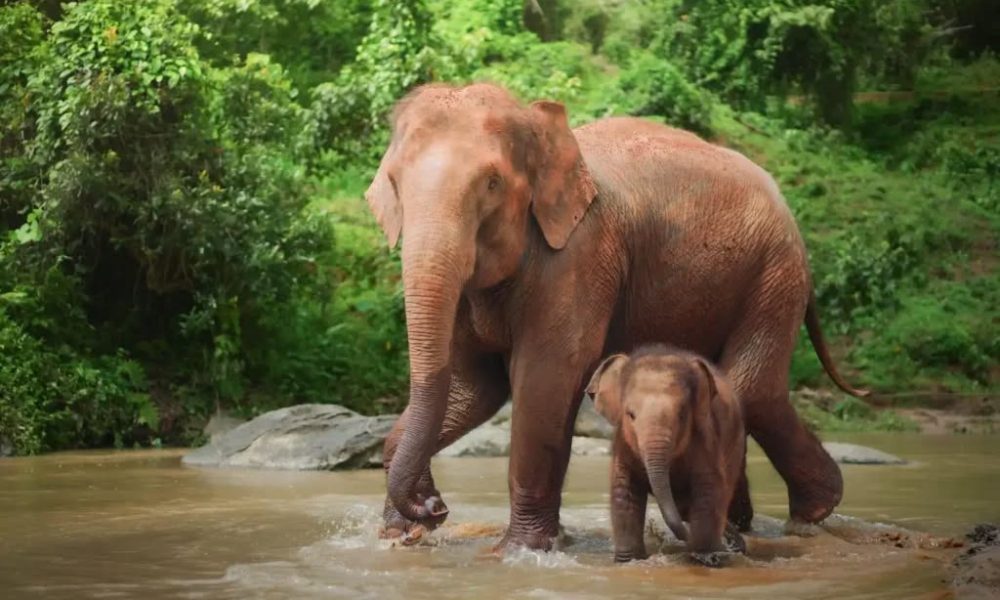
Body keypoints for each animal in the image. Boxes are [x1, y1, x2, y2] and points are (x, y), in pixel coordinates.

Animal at [586, 345, 747, 563]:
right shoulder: (623, 444)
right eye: (630, 414)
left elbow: (708, 489)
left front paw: (707, 556)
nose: (687, 540)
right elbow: (624, 490)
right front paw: (628, 560)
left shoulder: (705, 438)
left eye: (682, 414)